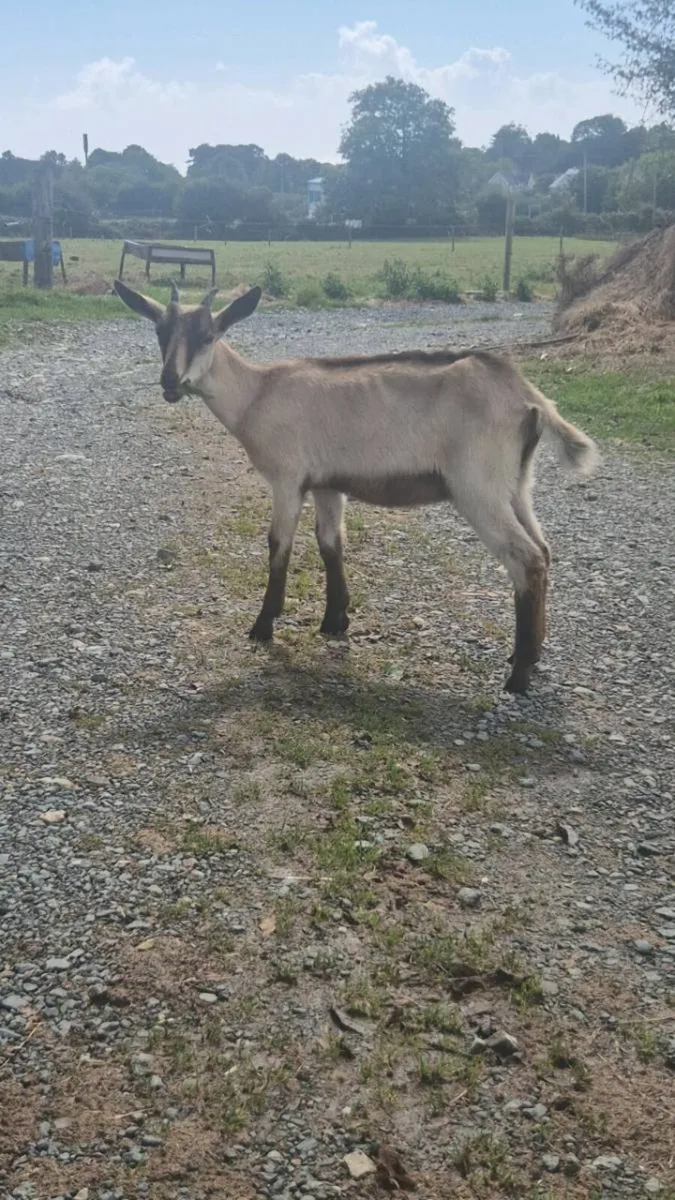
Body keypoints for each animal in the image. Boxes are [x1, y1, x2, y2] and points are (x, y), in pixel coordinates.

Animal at [114, 279, 599, 694]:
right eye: (160, 330)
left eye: (210, 335)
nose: (171, 382)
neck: (257, 393)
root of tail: (529, 396)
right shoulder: (328, 483)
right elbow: (331, 542)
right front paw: (334, 621)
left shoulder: (288, 478)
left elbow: (278, 546)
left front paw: (263, 626)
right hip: (516, 484)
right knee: (544, 551)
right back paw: (530, 655)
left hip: (477, 486)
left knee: (525, 558)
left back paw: (517, 675)